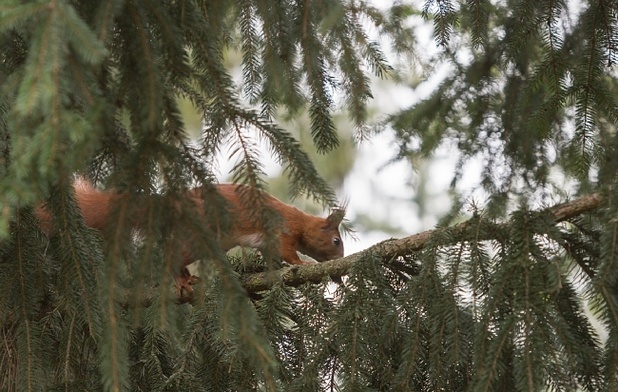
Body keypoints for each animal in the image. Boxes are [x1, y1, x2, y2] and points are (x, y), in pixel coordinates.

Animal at [36, 178, 344, 276]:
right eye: (336, 241)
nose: (341, 258)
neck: (301, 221)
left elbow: (271, 257)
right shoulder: (283, 232)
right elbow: (288, 252)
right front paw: (303, 264)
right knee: (170, 258)